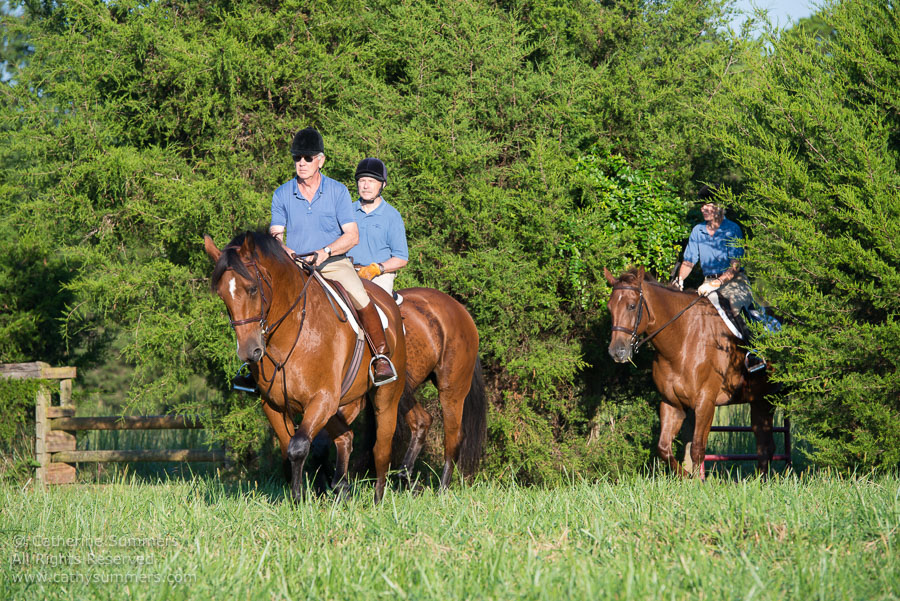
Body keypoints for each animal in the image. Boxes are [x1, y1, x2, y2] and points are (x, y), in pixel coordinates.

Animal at [206, 230, 406, 502]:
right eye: (221, 295)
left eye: (252, 289)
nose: (250, 352)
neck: (289, 333)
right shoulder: (274, 404)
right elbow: (286, 448)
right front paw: (296, 496)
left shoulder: (321, 398)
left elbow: (298, 447)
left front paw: (298, 500)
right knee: (345, 437)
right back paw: (341, 490)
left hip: (385, 397)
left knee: (381, 448)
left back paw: (377, 499)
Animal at [600, 266, 776, 474]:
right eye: (610, 307)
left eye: (632, 306)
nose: (616, 351)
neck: (682, 342)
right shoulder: (671, 403)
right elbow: (664, 448)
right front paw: (684, 476)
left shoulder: (705, 403)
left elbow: (697, 449)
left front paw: (696, 480)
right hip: (761, 400)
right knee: (764, 444)